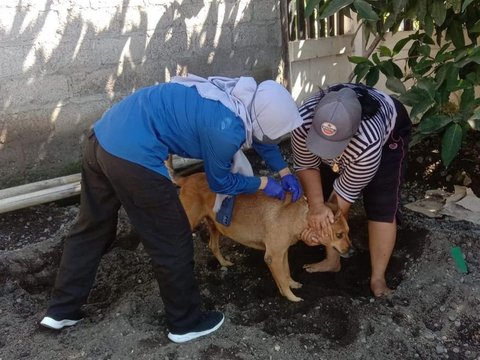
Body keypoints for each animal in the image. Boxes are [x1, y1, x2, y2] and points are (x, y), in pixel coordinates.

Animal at [171, 169, 350, 300]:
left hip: (215, 225)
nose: (352, 251)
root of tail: (186, 179)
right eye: (339, 235)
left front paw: (292, 284)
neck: (298, 216)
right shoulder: (273, 257)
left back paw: (224, 263)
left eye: (348, 232)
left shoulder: (282, 253)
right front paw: (291, 297)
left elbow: (286, 272)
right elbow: (282, 280)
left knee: (212, 245)